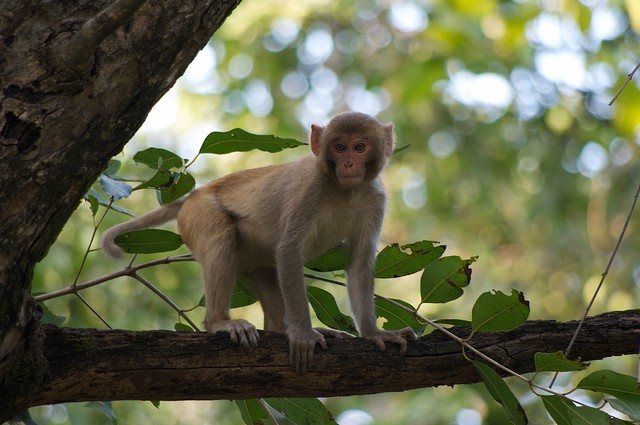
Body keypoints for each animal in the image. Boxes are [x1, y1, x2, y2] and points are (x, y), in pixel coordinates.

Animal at [102, 112, 418, 372]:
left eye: (360, 146)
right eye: (339, 147)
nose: (349, 163)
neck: (345, 192)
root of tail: (193, 195)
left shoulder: (374, 200)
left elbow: (360, 264)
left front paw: (374, 333)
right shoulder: (311, 189)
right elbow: (289, 251)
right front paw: (302, 334)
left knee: (266, 272)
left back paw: (281, 329)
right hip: (198, 213)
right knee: (223, 237)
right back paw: (220, 321)